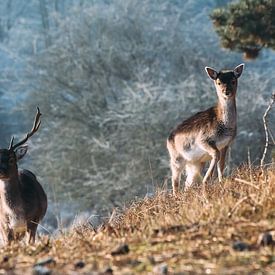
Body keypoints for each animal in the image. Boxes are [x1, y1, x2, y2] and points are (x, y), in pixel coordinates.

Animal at [167, 64, 245, 196]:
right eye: (218, 82)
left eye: (233, 81)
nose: (226, 92)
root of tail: (168, 139)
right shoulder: (203, 139)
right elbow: (216, 154)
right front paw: (206, 180)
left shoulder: (226, 144)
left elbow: (221, 163)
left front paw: (221, 181)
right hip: (176, 158)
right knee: (175, 180)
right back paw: (176, 196)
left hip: (195, 163)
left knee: (188, 182)